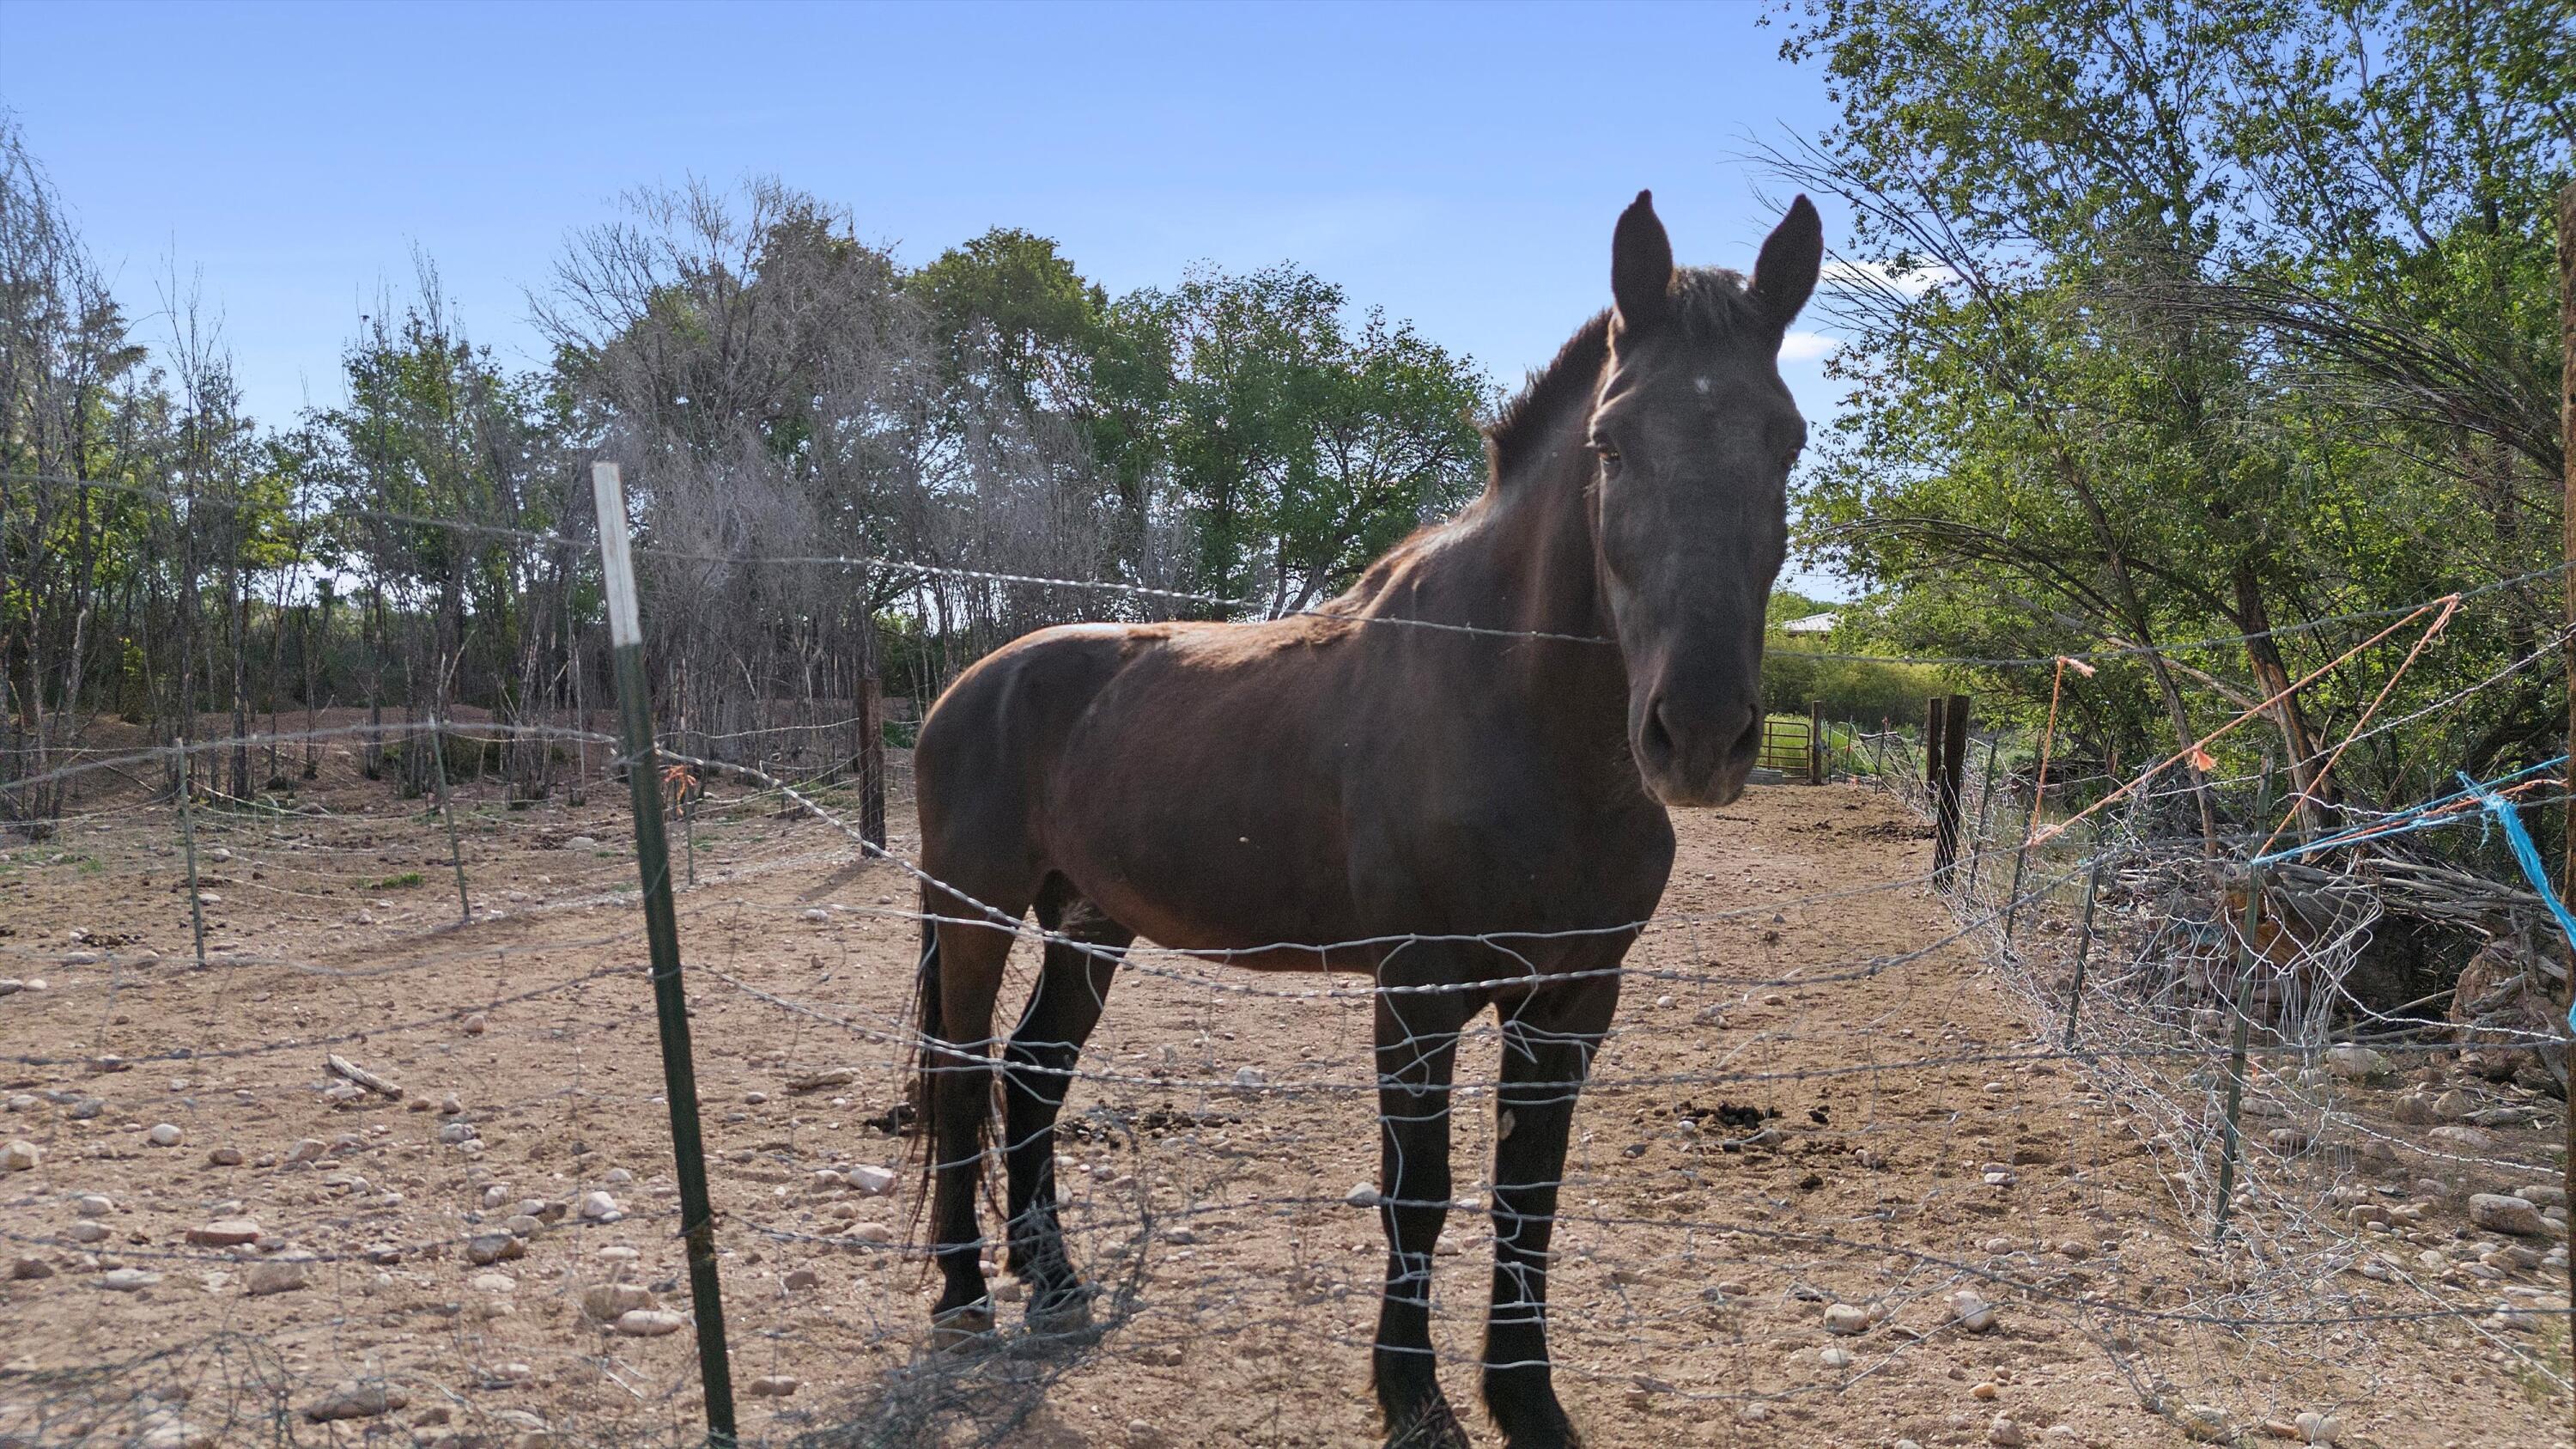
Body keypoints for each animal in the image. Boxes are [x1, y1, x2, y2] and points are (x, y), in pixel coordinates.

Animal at [907, 194, 1814, 1443]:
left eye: (1788, 440)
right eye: (1611, 443)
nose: (1704, 730)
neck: (1516, 715)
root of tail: (968, 685)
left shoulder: (1575, 1002)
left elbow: (1529, 1195)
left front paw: (1525, 1395)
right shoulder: (1417, 992)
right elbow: (1417, 1191)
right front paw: (1412, 1390)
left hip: (1088, 916)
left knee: (1035, 1072)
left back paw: (1053, 1283)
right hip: (977, 909)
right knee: (959, 1076)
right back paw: (960, 1299)